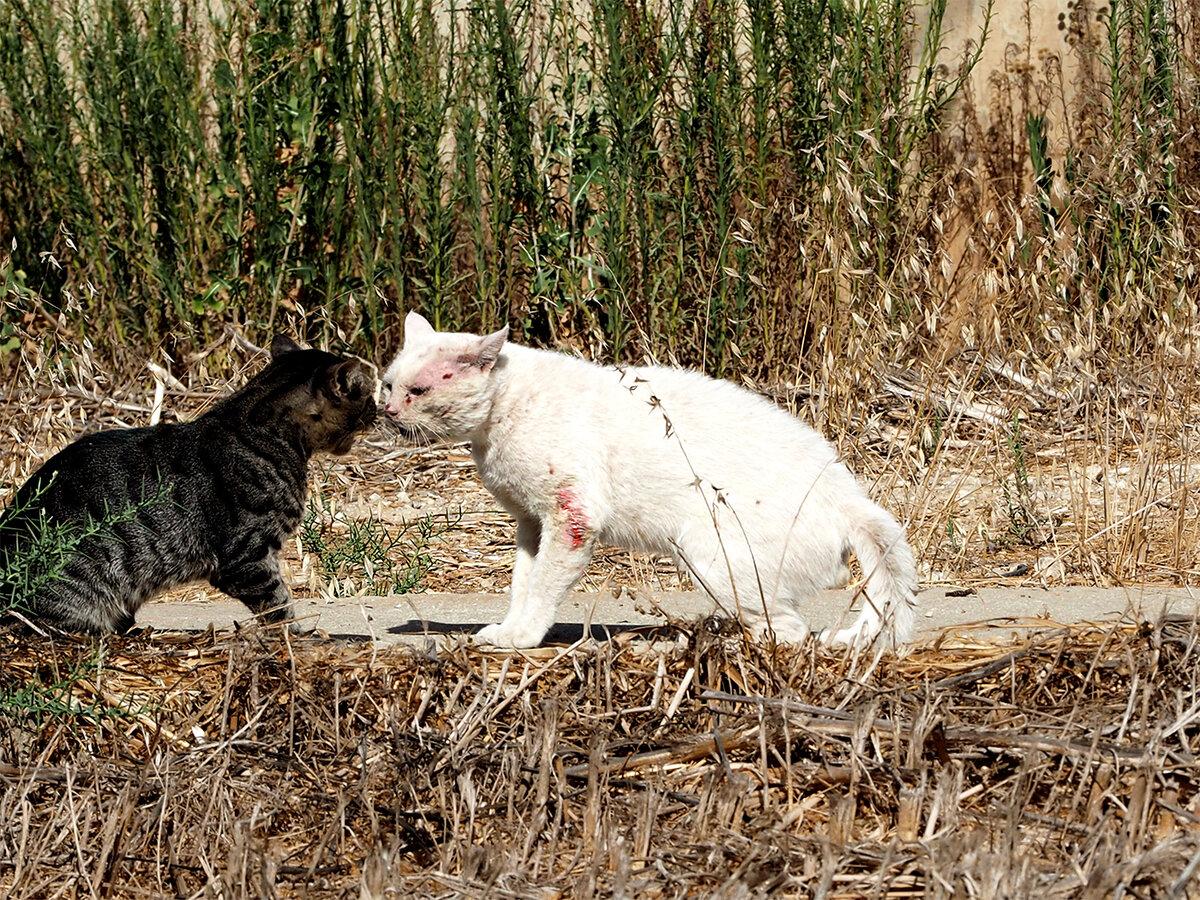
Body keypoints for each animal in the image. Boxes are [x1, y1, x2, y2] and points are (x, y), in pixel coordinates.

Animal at [384, 314, 916, 652]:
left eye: (419, 391)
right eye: (388, 384)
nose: (385, 409)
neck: (499, 416)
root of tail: (850, 498)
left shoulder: (571, 517)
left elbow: (542, 588)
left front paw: (523, 638)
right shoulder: (532, 523)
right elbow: (521, 583)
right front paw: (508, 629)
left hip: (710, 556)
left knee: (789, 632)